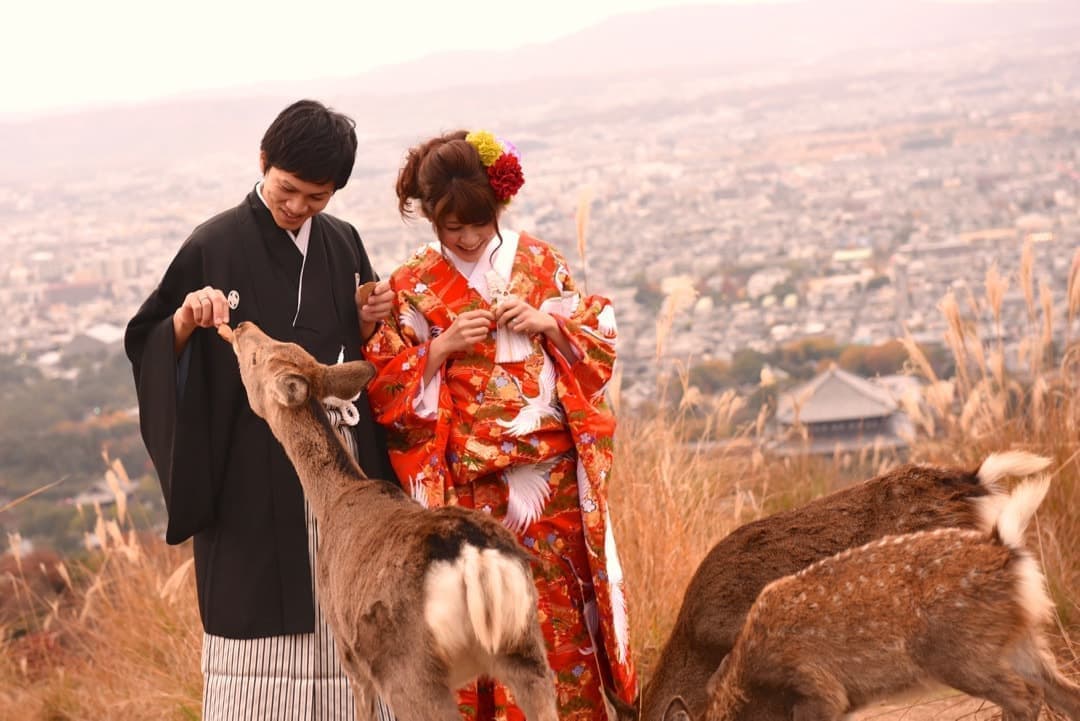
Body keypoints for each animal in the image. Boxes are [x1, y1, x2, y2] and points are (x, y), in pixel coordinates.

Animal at [218, 321, 557, 721]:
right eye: (286, 342)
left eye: (256, 358)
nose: (241, 326)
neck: (333, 500)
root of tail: (474, 560)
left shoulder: (347, 649)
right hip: (527, 648)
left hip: (409, 672)